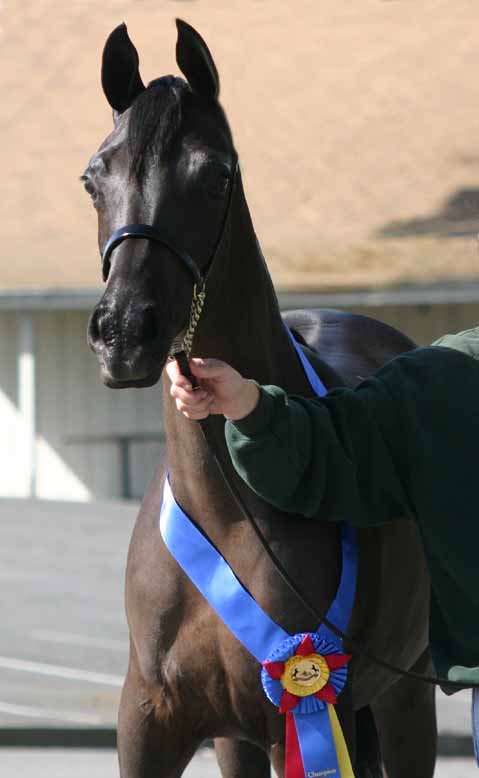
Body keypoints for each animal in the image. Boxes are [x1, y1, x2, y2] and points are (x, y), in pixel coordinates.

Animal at [84, 18, 436, 776]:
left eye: (215, 175)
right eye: (93, 177)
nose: (123, 332)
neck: (227, 509)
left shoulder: (301, 716)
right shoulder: (149, 726)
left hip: (404, 695)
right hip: (236, 736)